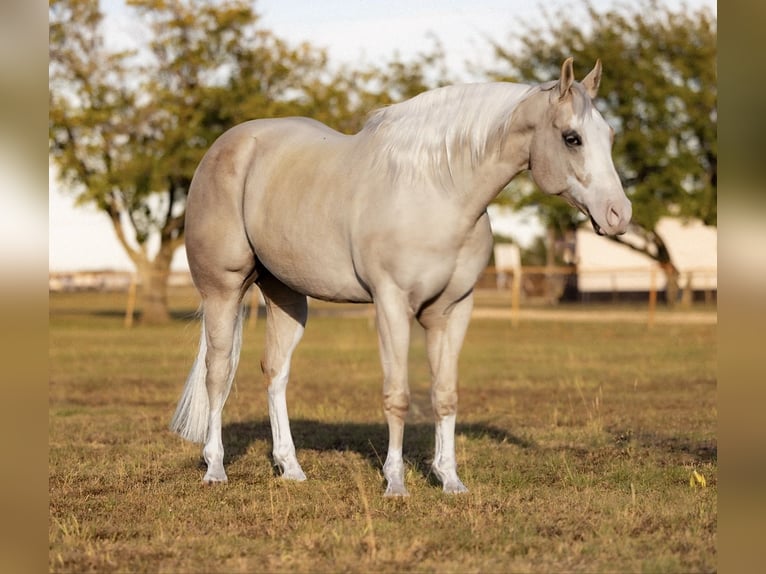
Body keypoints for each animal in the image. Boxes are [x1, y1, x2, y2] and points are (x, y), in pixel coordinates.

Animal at [171, 59, 632, 500]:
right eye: (572, 138)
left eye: (609, 136)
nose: (618, 214)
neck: (440, 190)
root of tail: (225, 148)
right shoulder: (392, 305)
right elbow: (399, 395)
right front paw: (395, 483)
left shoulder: (452, 311)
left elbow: (444, 395)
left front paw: (450, 480)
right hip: (223, 290)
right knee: (217, 372)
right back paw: (215, 468)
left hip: (287, 297)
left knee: (275, 371)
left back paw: (292, 468)